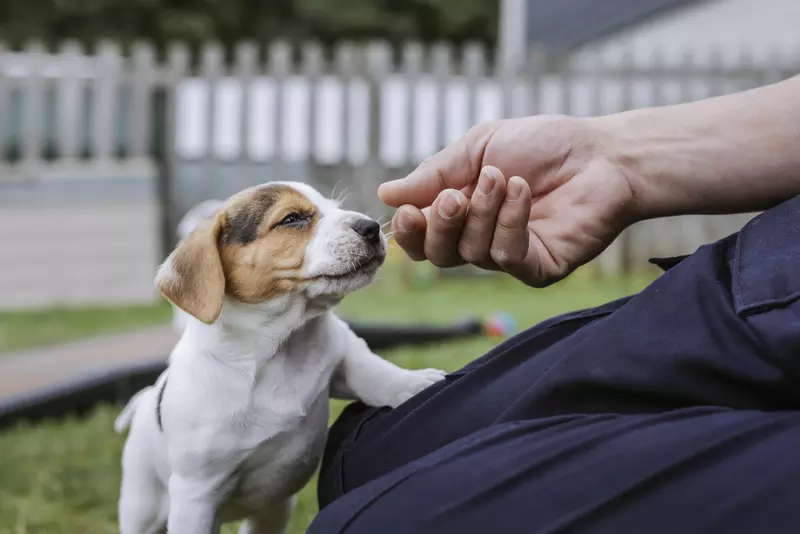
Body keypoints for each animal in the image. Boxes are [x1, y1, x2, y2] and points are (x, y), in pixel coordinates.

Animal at [115, 182, 446, 532]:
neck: (278, 346)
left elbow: (373, 371)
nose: (371, 227)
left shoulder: (343, 352)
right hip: (143, 506)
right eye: (292, 219)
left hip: (270, 513)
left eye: (334, 206)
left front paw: (413, 384)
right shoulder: (197, 497)